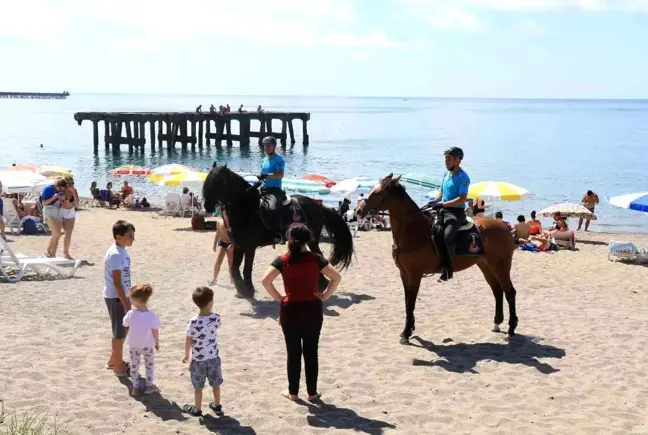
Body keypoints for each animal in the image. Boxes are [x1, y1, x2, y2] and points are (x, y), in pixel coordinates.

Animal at [202, 165, 354, 298]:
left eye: (220, 182)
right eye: (207, 180)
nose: (207, 206)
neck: (247, 208)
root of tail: (319, 206)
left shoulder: (250, 247)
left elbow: (246, 269)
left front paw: (249, 290)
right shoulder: (239, 245)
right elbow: (234, 268)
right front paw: (241, 292)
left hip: (312, 240)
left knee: (318, 255)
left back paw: (321, 285)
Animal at [356, 174, 520, 344]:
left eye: (378, 193)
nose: (358, 210)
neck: (415, 231)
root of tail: (504, 227)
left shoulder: (414, 275)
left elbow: (411, 303)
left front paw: (406, 333)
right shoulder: (404, 274)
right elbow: (407, 302)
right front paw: (409, 328)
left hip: (501, 265)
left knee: (510, 292)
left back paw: (511, 328)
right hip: (485, 265)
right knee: (497, 291)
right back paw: (497, 323)